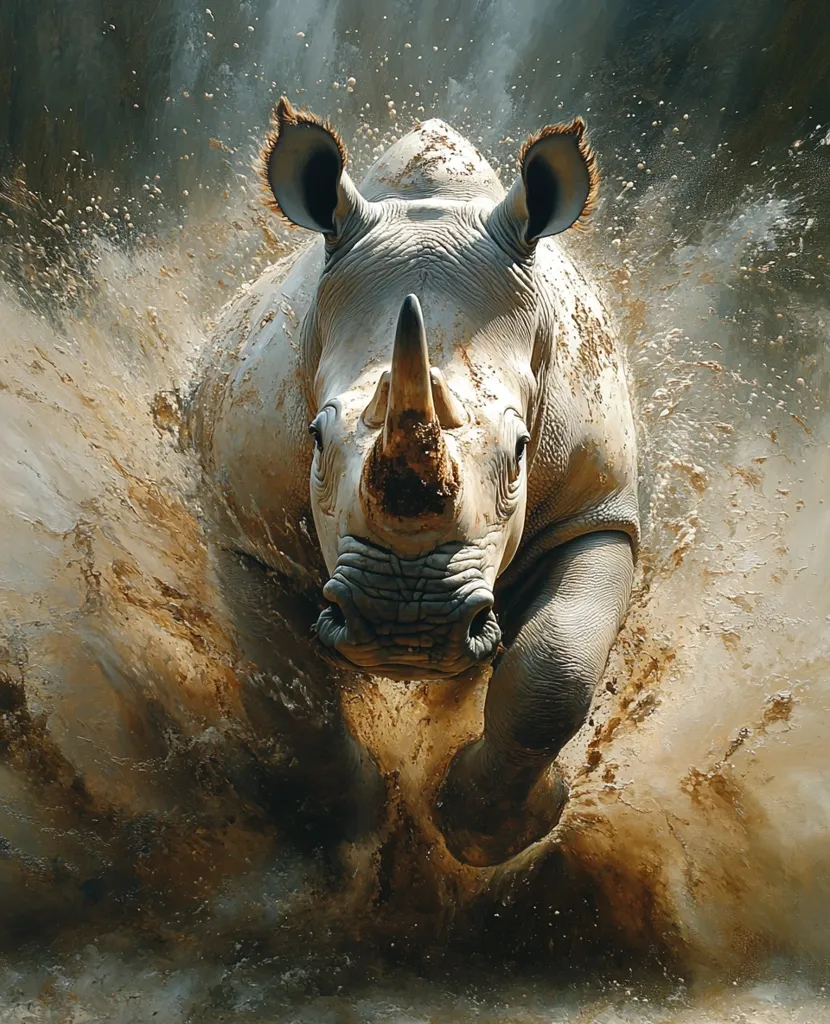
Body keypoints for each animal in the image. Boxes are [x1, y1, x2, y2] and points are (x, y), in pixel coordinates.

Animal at [188, 98, 639, 867]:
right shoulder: (246, 527)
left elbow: (555, 671)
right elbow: (289, 692)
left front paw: (489, 836)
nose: (408, 625)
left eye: (521, 450)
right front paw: (346, 823)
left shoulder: (596, 508)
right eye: (316, 439)